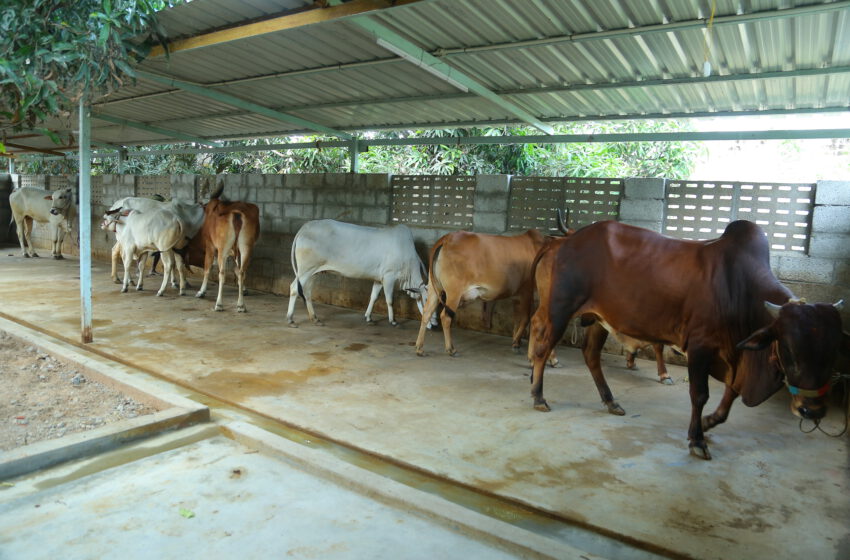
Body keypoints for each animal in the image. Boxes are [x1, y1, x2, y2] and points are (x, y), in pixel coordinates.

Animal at [288, 220, 428, 328]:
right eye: (426, 299)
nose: (431, 325)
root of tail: (305, 227)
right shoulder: (389, 277)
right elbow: (389, 300)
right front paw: (393, 321)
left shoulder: (379, 279)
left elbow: (373, 297)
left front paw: (368, 318)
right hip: (305, 270)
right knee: (294, 288)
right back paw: (290, 319)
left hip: (314, 272)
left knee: (307, 292)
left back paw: (315, 318)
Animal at [528, 220, 844, 460]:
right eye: (789, 348)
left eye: (833, 351)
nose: (812, 410)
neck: (739, 290)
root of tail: (561, 242)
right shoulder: (701, 347)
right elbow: (700, 394)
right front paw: (697, 439)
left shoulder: (734, 355)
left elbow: (730, 396)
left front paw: (708, 423)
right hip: (559, 309)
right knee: (543, 348)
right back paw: (538, 396)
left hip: (597, 318)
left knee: (591, 355)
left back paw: (610, 401)